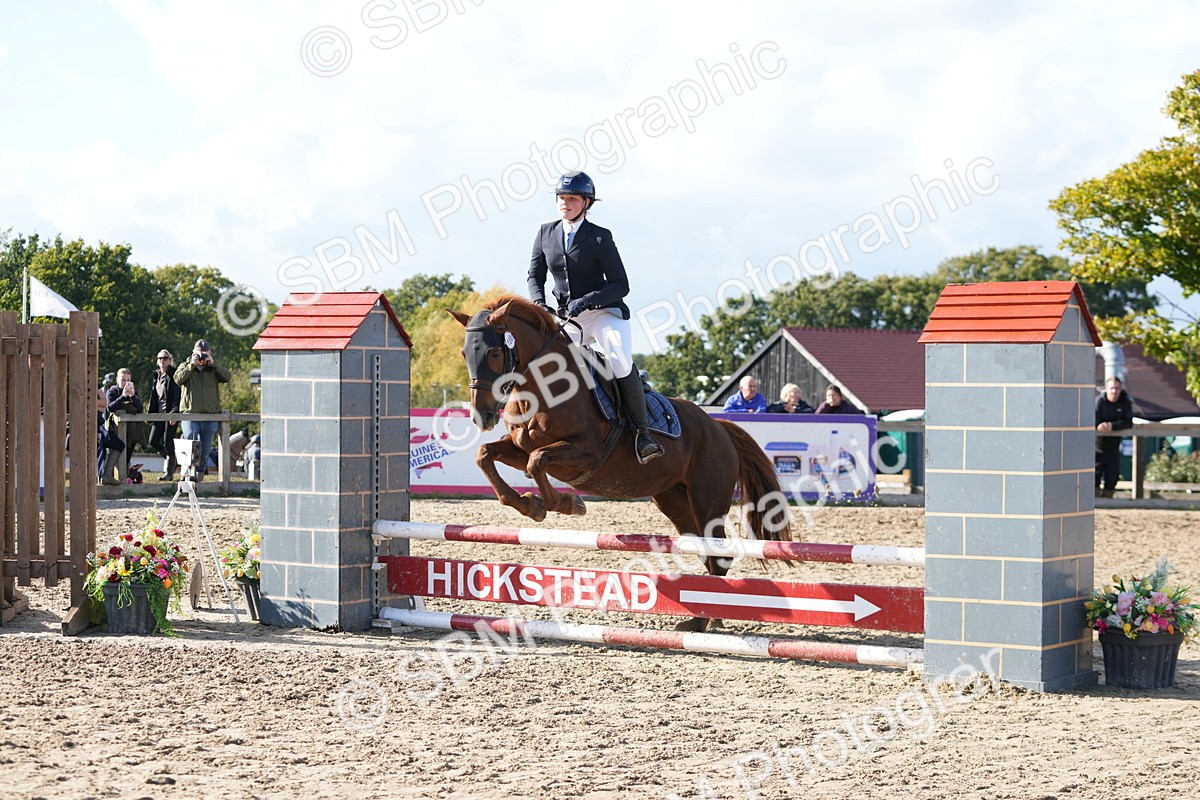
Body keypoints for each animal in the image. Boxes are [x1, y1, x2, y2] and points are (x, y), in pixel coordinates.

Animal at [448, 296, 793, 632]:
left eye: (494, 352)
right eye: (464, 353)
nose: (483, 416)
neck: (542, 390)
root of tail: (719, 427)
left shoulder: (586, 454)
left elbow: (537, 462)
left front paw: (566, 504)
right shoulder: (519, 447)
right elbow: (486, 455)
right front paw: (528, 504)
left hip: (708, 500)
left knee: (718, 554)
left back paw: (702, 620)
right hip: (675, 502)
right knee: (708, 554)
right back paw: (708, 616)